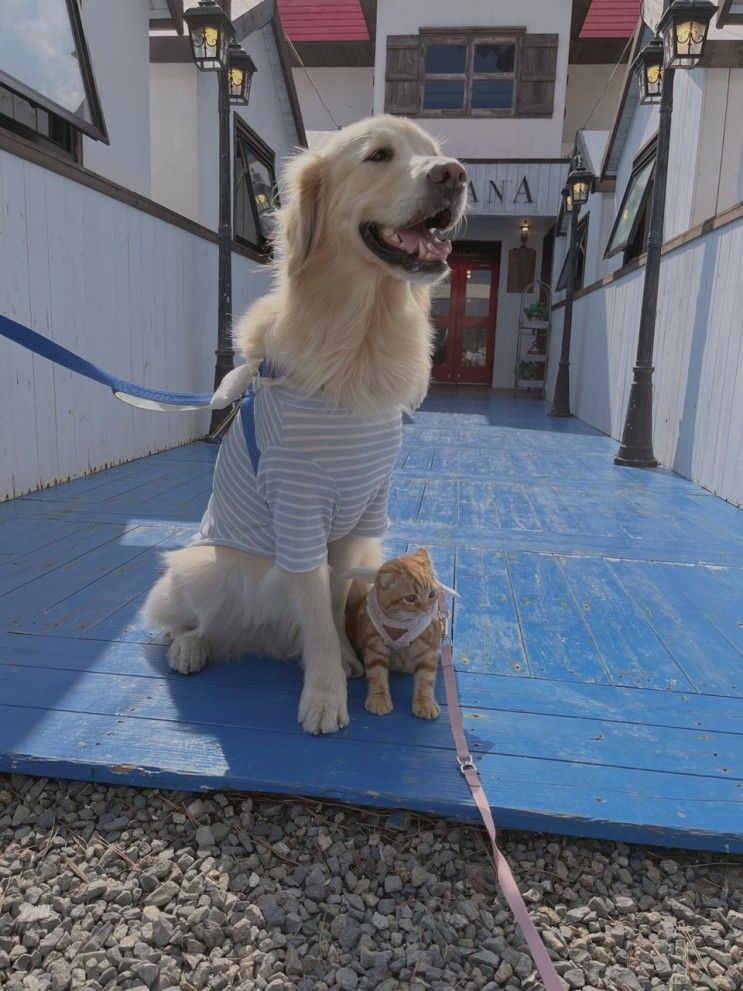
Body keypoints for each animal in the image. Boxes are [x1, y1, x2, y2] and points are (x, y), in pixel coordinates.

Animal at [344, 552, 444, 720]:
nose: (426, 610)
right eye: (410, 598)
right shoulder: (375, 646)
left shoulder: (428, 649)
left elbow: (426, 677)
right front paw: (379, 699)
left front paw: (425, 702)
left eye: (432, 594)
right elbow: (377, 674)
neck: (399, 624)